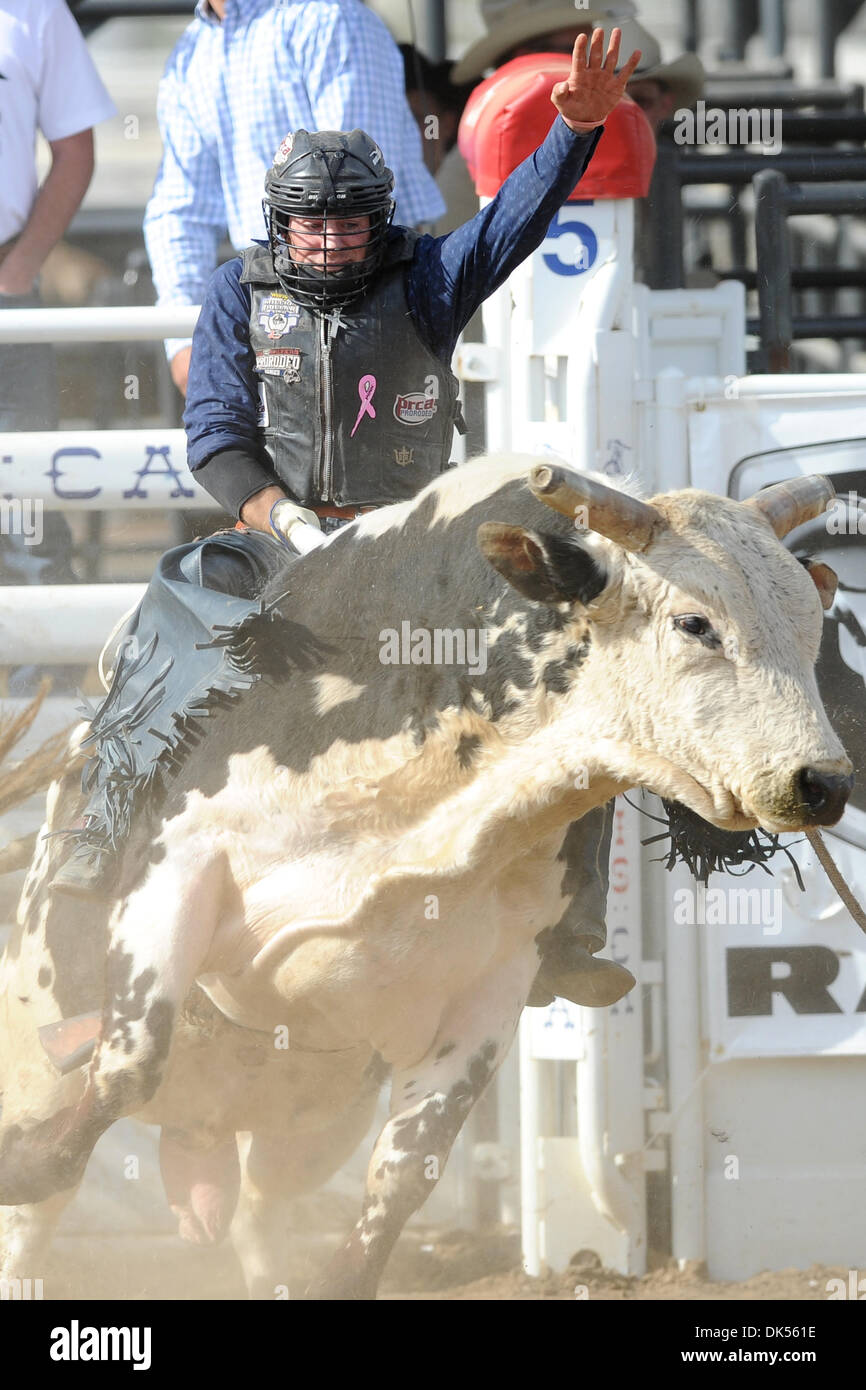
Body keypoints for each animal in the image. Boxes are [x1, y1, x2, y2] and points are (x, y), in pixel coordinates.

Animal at [0, 461, 856, 1295]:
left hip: (306, 1131)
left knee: (258, 1219)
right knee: (39, 1220)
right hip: (36, 1058)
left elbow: (406, 1171)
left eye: (810, 623)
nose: (822, 782)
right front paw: (29, 1164)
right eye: (694, 622)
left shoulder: (491, 983)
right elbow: (129, 1060)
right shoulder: (179, 870)